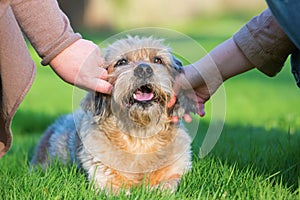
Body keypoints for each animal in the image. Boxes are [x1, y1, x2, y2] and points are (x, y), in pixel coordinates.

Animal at [29, 35, 195, 194]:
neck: (140, 137)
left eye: (157, 60)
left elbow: (168, 184)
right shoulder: (103, 179)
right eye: (121, 62)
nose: (143, 69)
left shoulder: (175, 172)